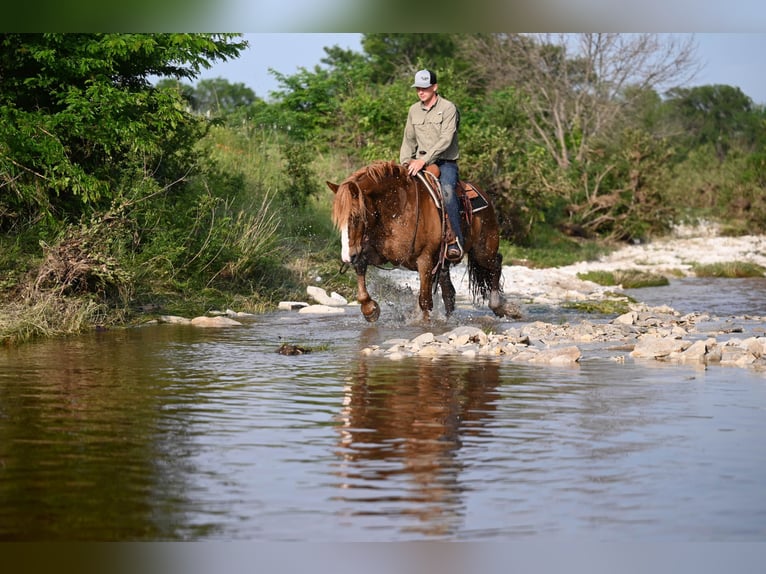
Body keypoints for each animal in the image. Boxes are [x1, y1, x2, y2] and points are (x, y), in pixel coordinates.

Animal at [328, 162, 512, 324]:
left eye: (355, 216)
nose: (347, 257)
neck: (398, 210)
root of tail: (484, 195)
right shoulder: (378, 254)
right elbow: (361, 267)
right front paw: (369, 310)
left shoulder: (425, 260)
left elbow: (425, 300)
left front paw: (423, 324)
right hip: (445, 264)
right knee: (449, 294)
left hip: (483, 251)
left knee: (496, 263)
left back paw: (500, 306)